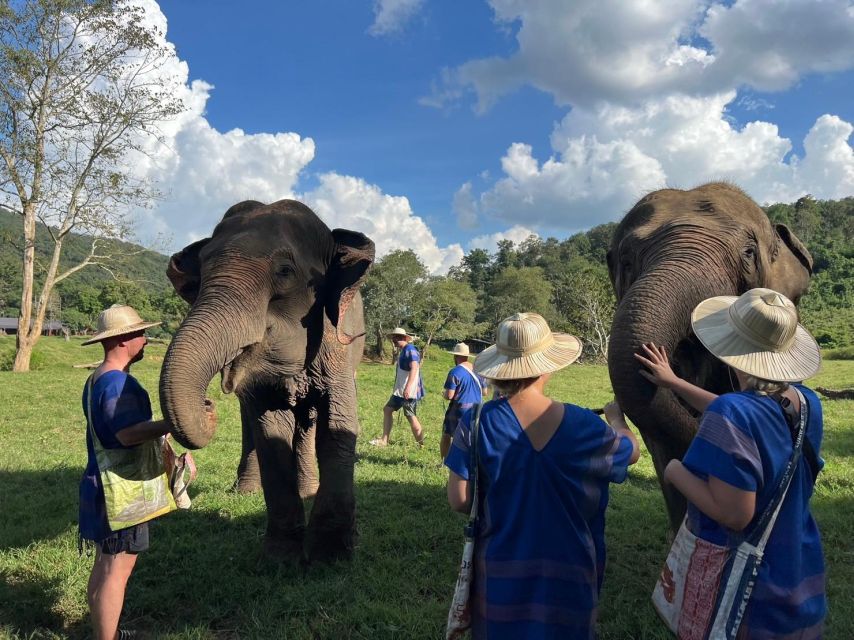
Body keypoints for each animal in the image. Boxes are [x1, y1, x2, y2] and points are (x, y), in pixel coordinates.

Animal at [160, 199, 374, 560]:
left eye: (285, 271)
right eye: (201, 272)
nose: (208, 403)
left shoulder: (338, 351)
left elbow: (336, 426)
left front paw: (330, 557)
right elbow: (271, 435)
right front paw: (281, 558)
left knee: (309, 421)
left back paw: (308, 491)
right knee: (252, 427)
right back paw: (246, 491)